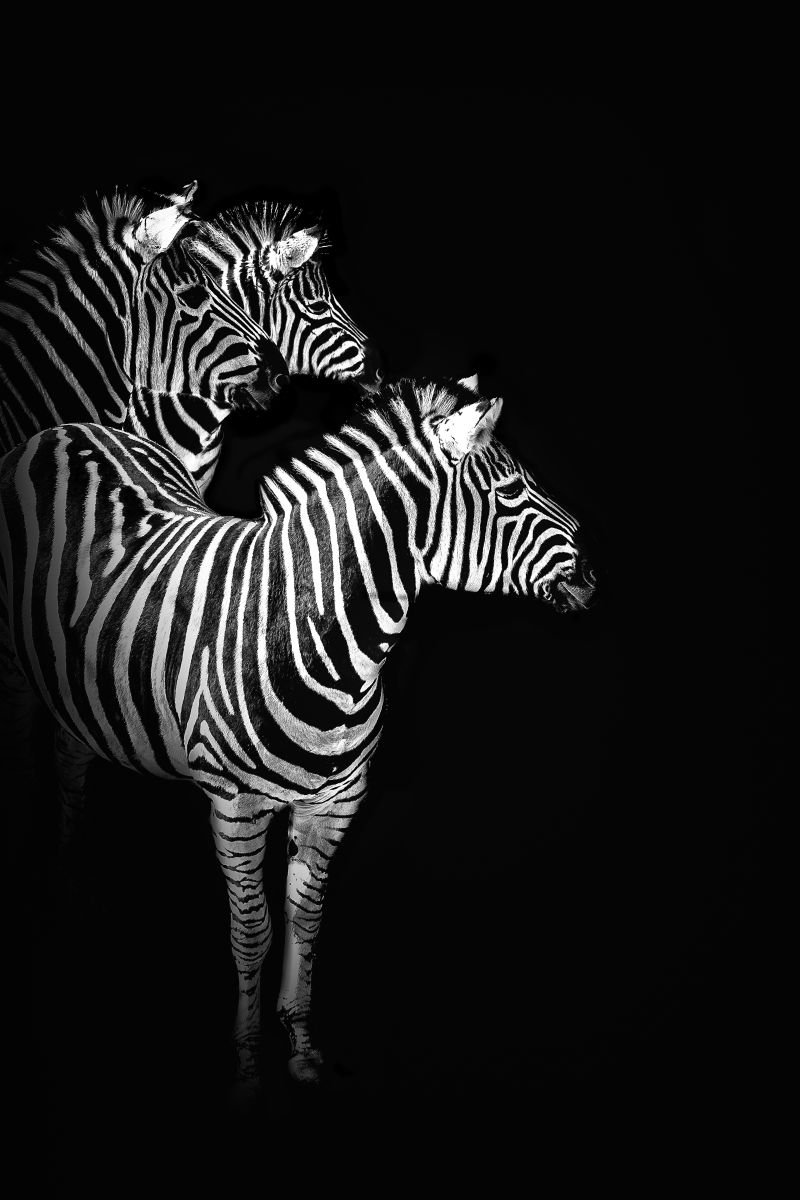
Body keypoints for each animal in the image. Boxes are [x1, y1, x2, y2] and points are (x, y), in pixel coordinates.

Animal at [0, 373, 596, 1092]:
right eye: (509, 493)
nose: (594, 576)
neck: (326, 638)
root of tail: (64, 428)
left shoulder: (335, 804)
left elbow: (306, 918)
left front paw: (303, 1048)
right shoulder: (236, 805)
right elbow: (252, 929)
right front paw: (248, 1067)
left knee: (70, 760)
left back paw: (69, 879)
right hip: (14, 667)